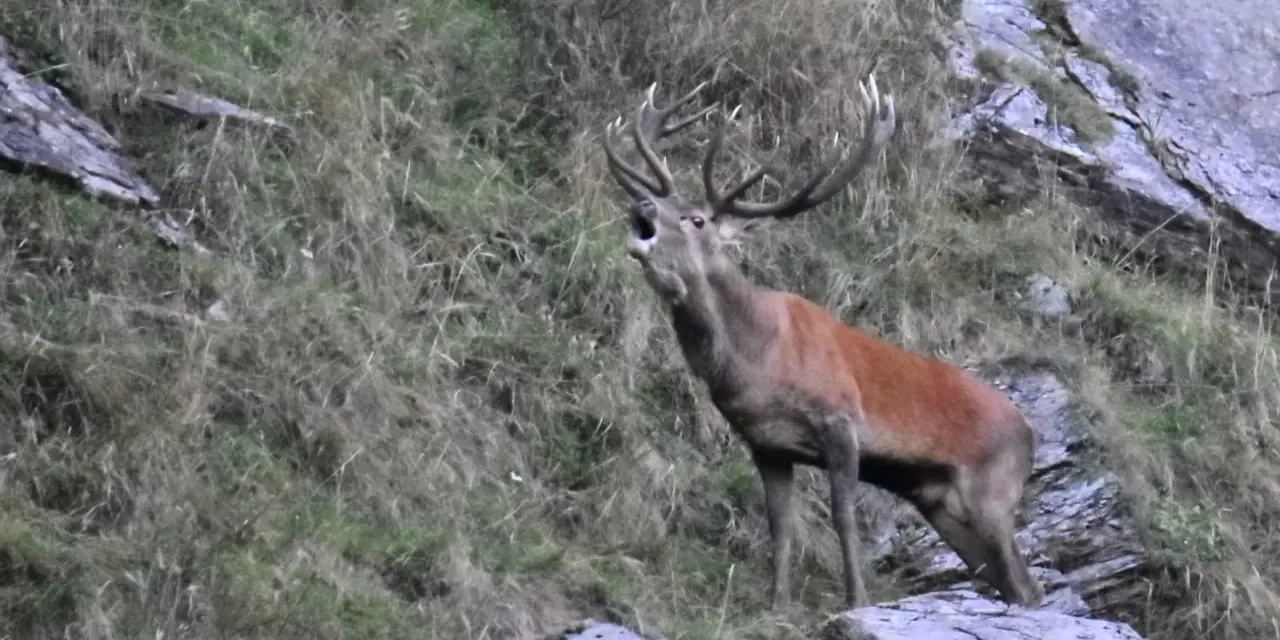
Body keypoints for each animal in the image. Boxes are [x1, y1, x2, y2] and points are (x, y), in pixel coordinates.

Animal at [600, 74, 1046, 612]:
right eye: (662, 204)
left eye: (697, 219)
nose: (642, 205)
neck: (757, 360)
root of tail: (1031, 433)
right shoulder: (766, 443)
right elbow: (780, 527)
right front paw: (777, 604)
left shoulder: (841, 418)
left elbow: (843, 515)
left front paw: (855, 599)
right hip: (944, 504)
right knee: (1011, 583)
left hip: (993, 492)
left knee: (1029, 585)